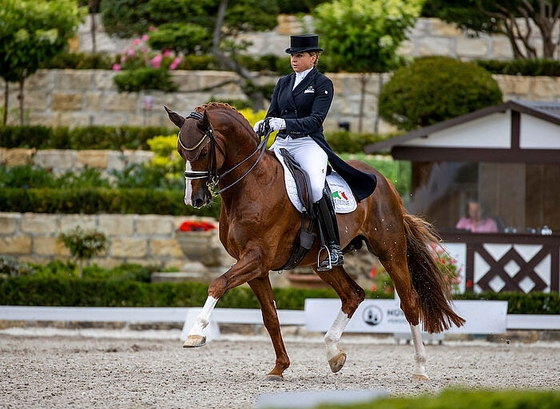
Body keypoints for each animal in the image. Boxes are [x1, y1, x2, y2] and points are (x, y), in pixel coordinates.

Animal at [165, 101, 464, 380]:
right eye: (181, 152)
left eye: (203, 152)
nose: (194, 199)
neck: (251, 184)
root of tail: (385, 181)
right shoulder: (255, 267)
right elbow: (270, 316)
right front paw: (279, 367)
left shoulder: (256, 258)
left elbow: (218, 284)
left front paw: (195, 333)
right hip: (323, 263)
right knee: (353, 294)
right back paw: (334, 353)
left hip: (390, 251)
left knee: (409, 302)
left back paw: (420, 369)